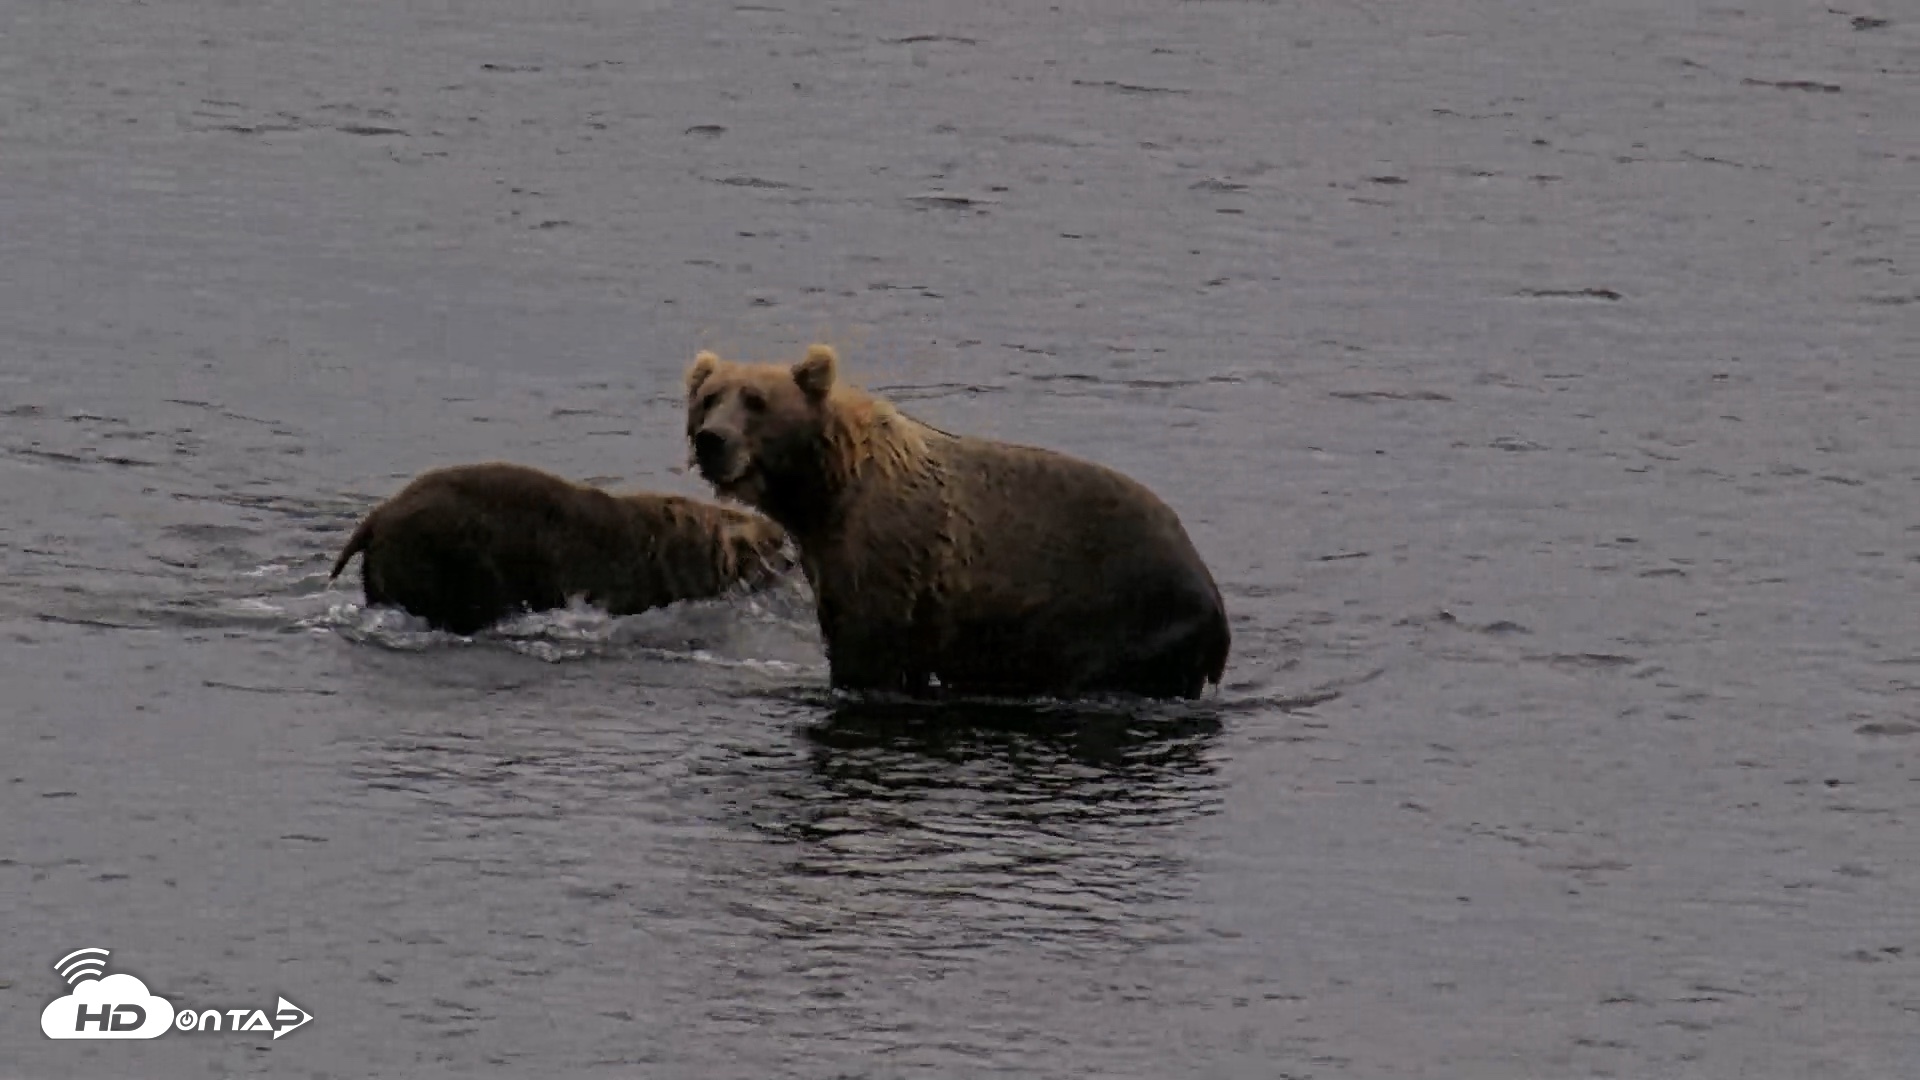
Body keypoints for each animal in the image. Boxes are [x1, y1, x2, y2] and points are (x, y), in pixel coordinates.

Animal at [682, 344, 1231, 700]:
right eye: (709, 398)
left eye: (756, 400)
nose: (712, 439)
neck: (824, 493)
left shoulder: (886, 562)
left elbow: (868, 656)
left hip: (1124, 616)